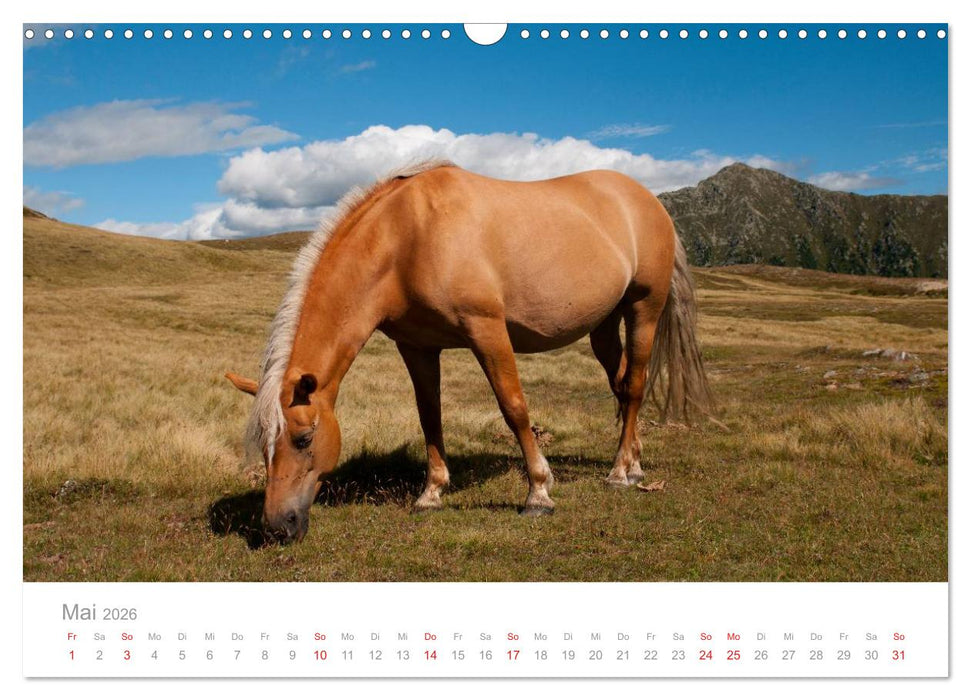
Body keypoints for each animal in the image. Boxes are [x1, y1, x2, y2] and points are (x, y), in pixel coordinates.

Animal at [225, 160, 712, 544]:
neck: (407, 238)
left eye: (304, 438)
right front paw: (431, 493)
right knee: (622, 385)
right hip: (604, 325)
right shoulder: (417, 346)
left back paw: (620, 472)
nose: (277, 526)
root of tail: (648, 200)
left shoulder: (487, 331)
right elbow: (429, 416)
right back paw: (634, 462)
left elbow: (514, 407)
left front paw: (539, 492)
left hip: (643, 309)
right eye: (263, 445)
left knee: (635, 386)